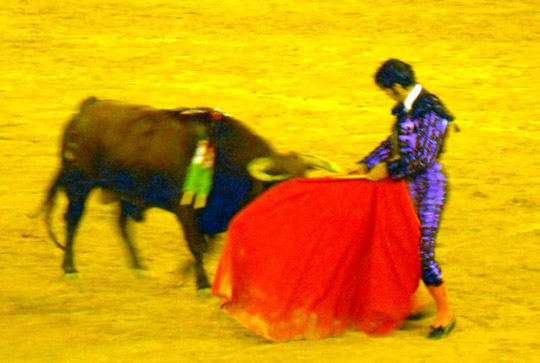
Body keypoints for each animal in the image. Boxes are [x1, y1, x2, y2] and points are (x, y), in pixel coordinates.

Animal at [42, 96, 338, 290]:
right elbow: (198, 245)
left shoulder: (215, 216)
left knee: (121, 225)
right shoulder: (186, 209)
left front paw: (183, 275)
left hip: (126, 195)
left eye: (306, 179)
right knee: (72, 222)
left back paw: (139, 267)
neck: (226, 160)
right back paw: (70, 269)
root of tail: (88, 107)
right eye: (282, 185)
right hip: (79, 185)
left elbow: (208, 246)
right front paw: (202, 283)